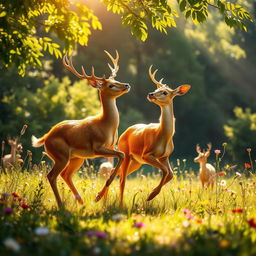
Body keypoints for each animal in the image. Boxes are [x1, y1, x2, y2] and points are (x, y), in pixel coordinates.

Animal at [31, 50, 130, 208]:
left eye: (116, 80)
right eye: (110, 85)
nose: (126, 85)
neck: (107, 125)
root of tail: (46, 137)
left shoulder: (110, 146)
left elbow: (119, 158)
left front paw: (100, 197)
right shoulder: (97, 147)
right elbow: (121, 154)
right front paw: (98, 196)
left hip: (77, 158)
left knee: (65, 174)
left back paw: (81, 201)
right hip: (61, 155)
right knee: (51, 175)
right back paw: (62, 205)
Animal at [95, 65, 190, 205]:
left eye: (165, 92)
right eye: (156, 89)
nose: (151, 94)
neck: (163, 136)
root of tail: (125, 132)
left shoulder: (165, 156)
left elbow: (170, 174)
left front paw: (152, 193)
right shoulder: (146, 154)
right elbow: (165, 170)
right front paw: (151, 195)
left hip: (136, 161)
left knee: (115, 172)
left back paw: (103, 198)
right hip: (127, 153)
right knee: (122, 179)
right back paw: (111, 201)